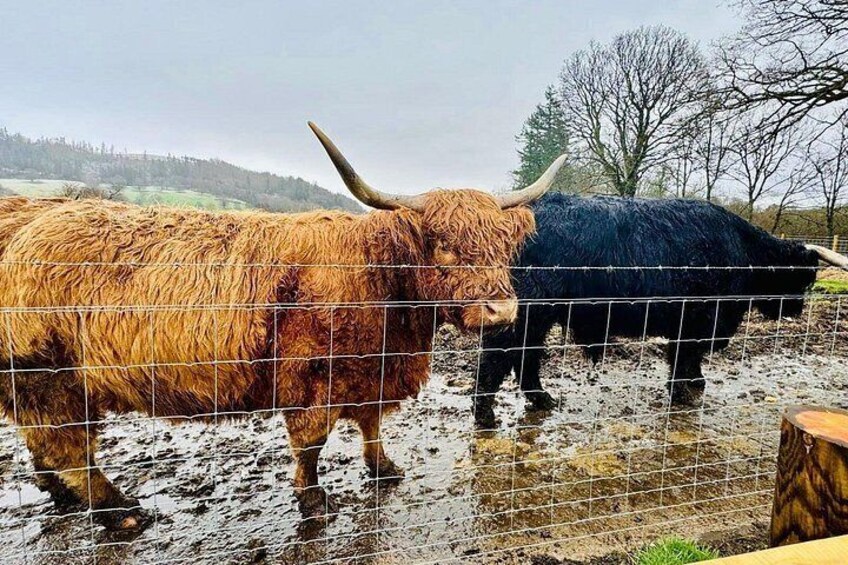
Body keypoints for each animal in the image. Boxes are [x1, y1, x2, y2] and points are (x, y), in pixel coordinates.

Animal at [0, 123, 566, 530]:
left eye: (502, 245)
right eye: (445, 244)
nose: (502, 311)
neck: (380, 282)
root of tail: (25, 214)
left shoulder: (370, 373)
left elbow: (371, 426)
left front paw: (384, 469)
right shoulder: (312, 378)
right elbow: (311, 443)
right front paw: (314, 500)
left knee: (45, 446)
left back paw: (65, 499)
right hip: (49, 378)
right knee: (69, 448)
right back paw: (120, 511)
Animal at [472, 193, 848, 429]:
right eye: (804, 278)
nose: (797, 308)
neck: (743, 253)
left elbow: (689, 358)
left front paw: (695, 383)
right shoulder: (697, 319)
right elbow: (683, 356)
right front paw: (684, 393)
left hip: (539, 316)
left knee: (526, 355)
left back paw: (541, 399)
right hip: (527, 311)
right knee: (499, 354)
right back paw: (485, 414)